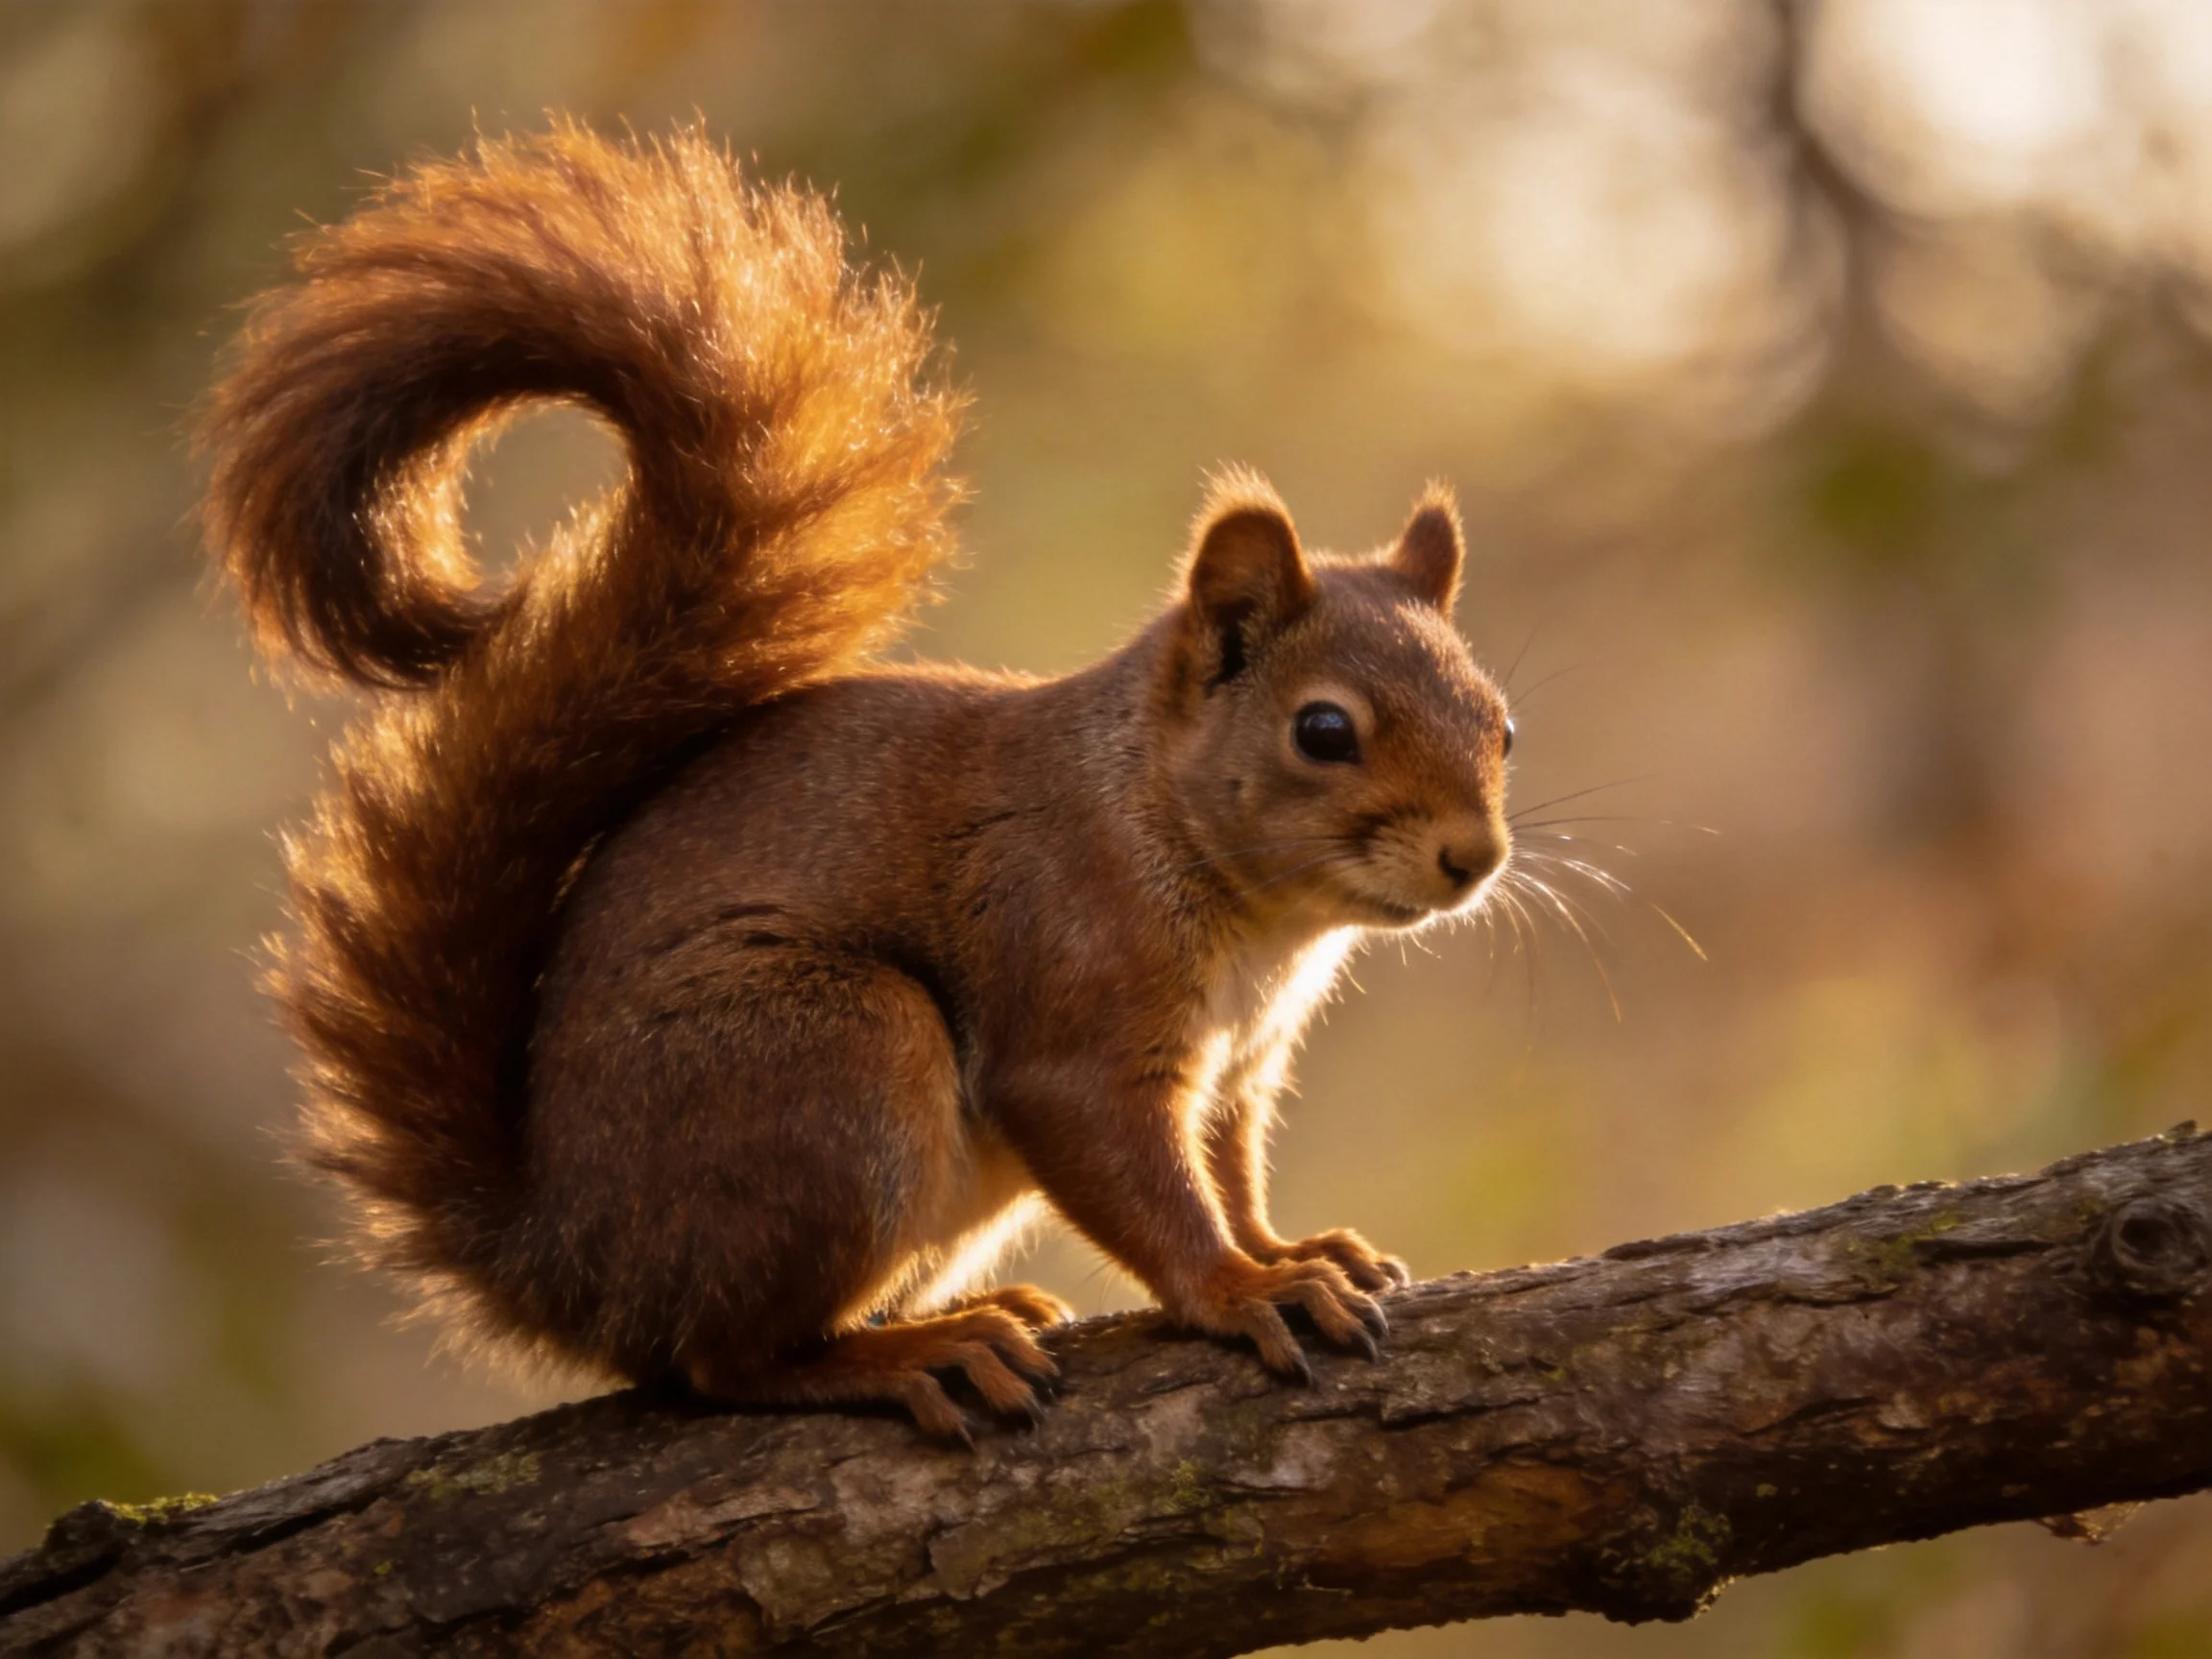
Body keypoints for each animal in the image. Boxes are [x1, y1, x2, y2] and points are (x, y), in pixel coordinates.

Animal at [199, 124, 1513, 1440]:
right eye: (1324, 730)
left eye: (1503, 723)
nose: (1476, 858)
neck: (1179, 838)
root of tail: (565, 1264)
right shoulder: (1072, 996)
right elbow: (1140, 1183)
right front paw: (1240, 1289)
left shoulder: (1237, 1072)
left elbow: (1231, 1177)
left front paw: (1294, 1251)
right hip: (835, 1058)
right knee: (724, 1362)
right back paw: (912, 1354)